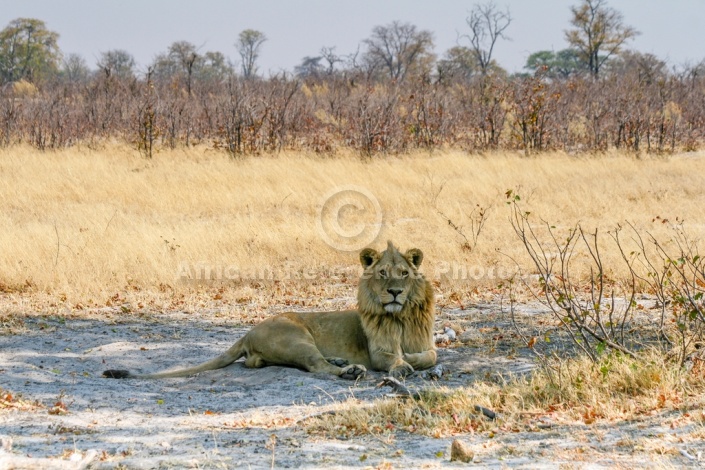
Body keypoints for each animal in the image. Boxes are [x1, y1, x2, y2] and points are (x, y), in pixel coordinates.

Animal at [103, 241, 434, 380]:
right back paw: (349, 370)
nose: (395, 292)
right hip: (295, 338)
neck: (401, 316)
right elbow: (395, 358)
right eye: (382, 274)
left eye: (404, 274)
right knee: (316, 365)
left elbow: (430, 356)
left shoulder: (427, 344)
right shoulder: (378, 353)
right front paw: (403, 364)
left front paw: (412, 360)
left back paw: (341, 361)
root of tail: (248, 332)